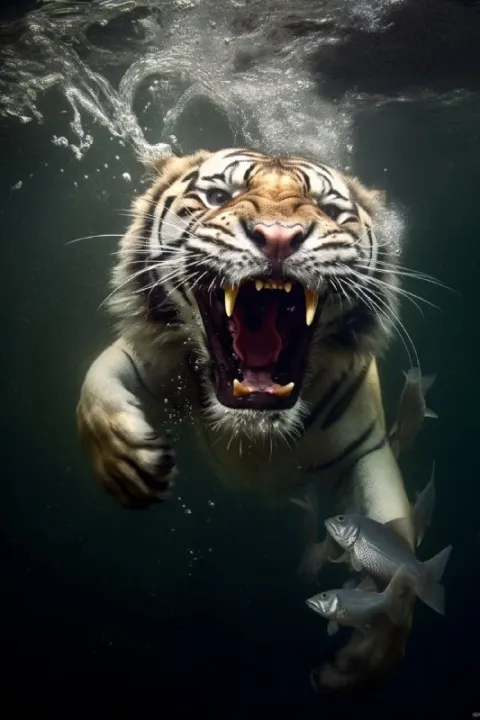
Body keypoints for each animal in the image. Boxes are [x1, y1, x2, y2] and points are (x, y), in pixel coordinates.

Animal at [76, 147, 415, 690]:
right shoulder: (146, 357)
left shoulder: (366, 449)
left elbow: (396, 536)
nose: (278, 236)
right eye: (219, 197)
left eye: (327, 209)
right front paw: (128, 466)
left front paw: (371, 653)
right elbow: (94, 389)